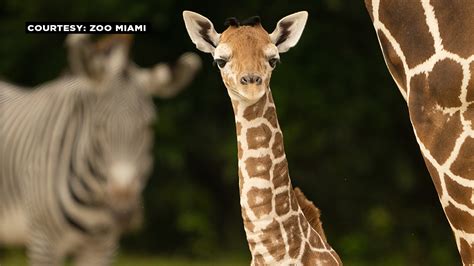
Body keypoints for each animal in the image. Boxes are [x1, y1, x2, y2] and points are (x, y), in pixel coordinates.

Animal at [0, 34, 200, 264]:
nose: (123, 211)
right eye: (98, 126)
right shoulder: (44, 242)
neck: (92, 200)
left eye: (149, 126)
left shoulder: (102, 246)